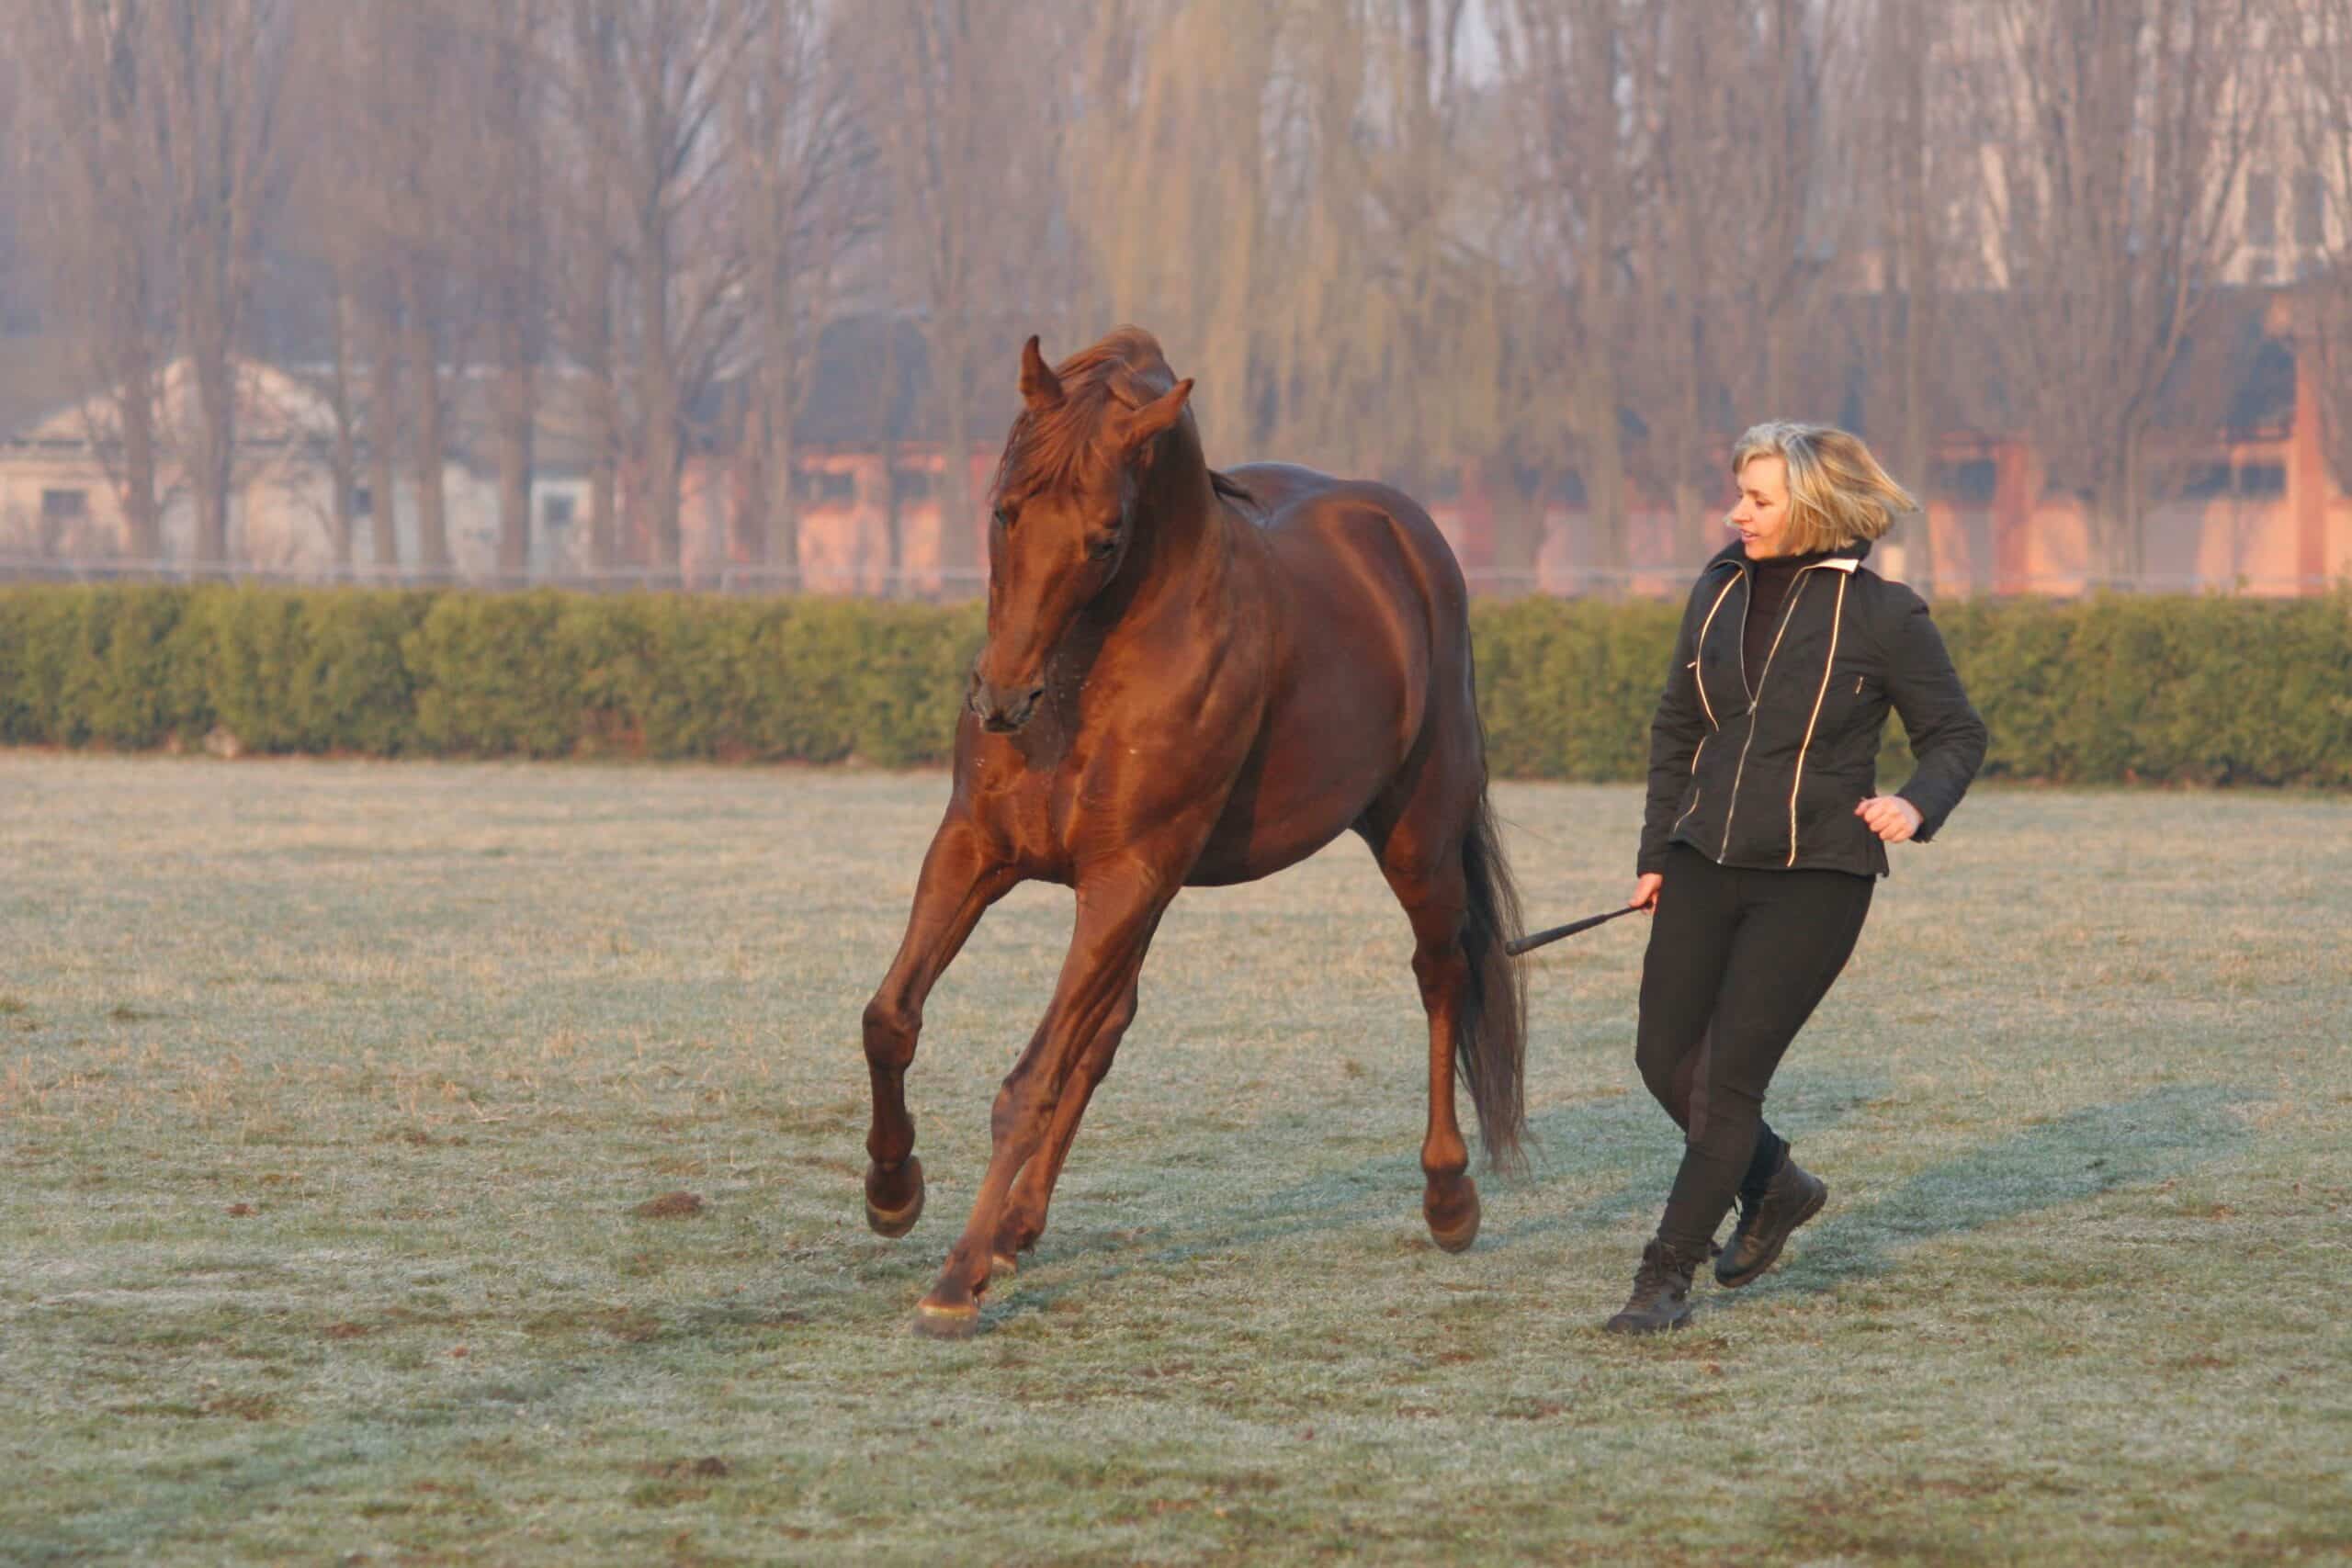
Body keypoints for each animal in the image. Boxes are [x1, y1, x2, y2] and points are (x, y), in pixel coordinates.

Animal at [860, 329, 1523, 1335]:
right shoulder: (977, 851)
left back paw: (1448, 1197)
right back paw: (1016, 1223)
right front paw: (894, 1190)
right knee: (1105, 1031)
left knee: (1441, 976)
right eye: (1005, 510)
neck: (1089, 680)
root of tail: (1407, 541)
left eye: (1105, 537)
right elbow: (892, 1018)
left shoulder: (1123, 877)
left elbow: (1028, 1083)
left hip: (1415, 839)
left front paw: (953, 1280)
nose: (1001, 697)